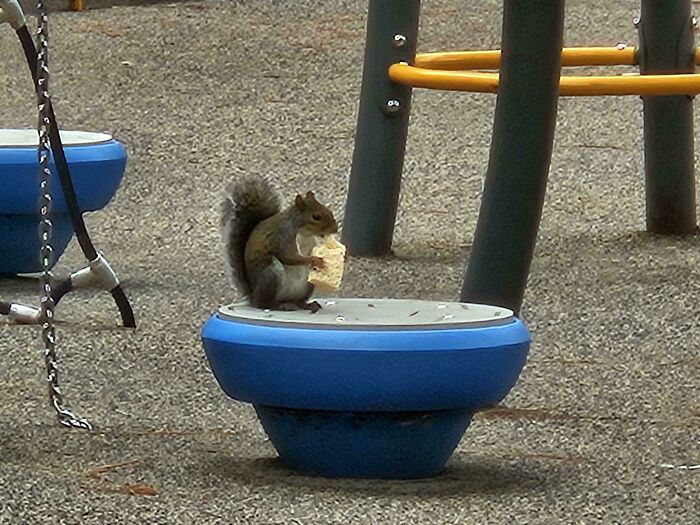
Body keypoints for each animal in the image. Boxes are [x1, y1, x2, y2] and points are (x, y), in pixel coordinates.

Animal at [221, 177, 338, 313]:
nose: (335, 229)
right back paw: (280, 306)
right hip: (271, 274)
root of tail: (253, 295)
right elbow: (289, 257)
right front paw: (314, 260)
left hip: (307, 285)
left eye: (329, 210)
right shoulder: (283, 238)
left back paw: (307, 305)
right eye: (316, 217)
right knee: (264, 304)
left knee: (299, 302)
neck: (304, 233)